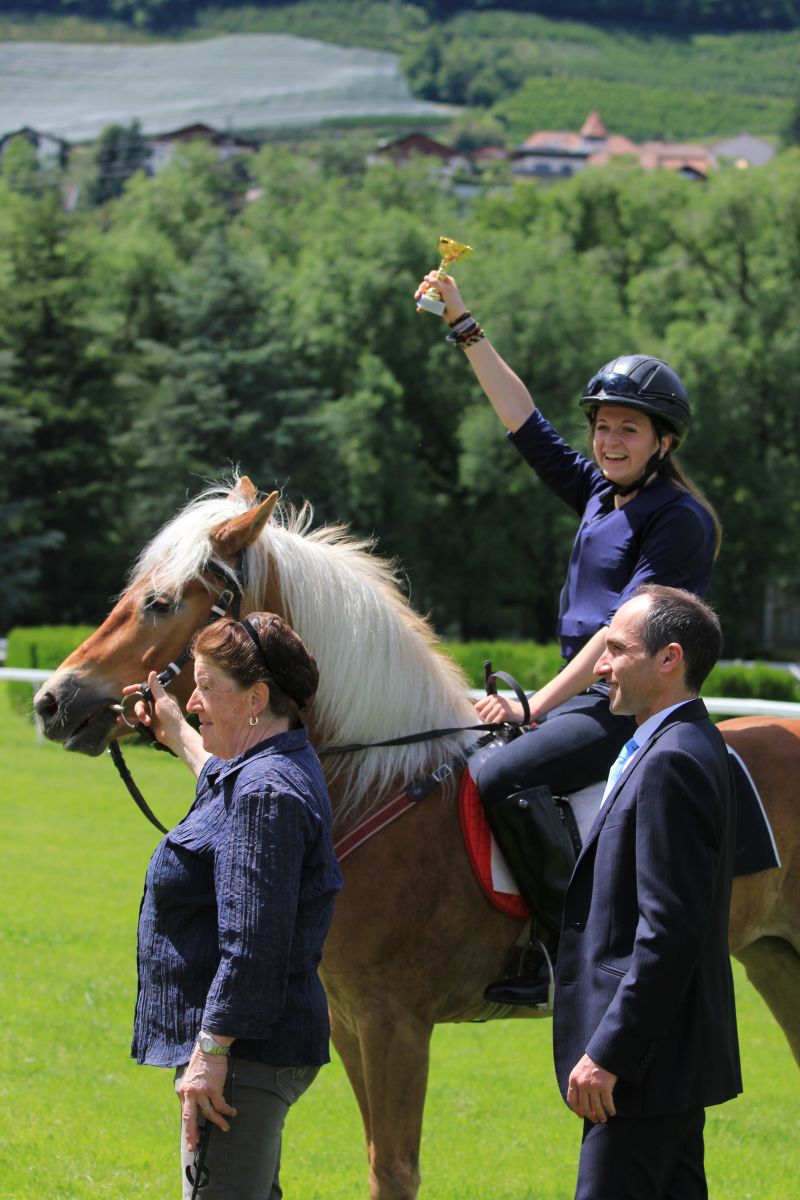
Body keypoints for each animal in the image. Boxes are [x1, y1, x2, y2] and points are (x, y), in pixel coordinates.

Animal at [33, 475, 800, 1200]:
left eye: (161, 602)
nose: (51, 701)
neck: (373, 784)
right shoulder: (347, 1021)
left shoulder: (395, 1024)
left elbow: (393, 1171)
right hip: (773, 961)